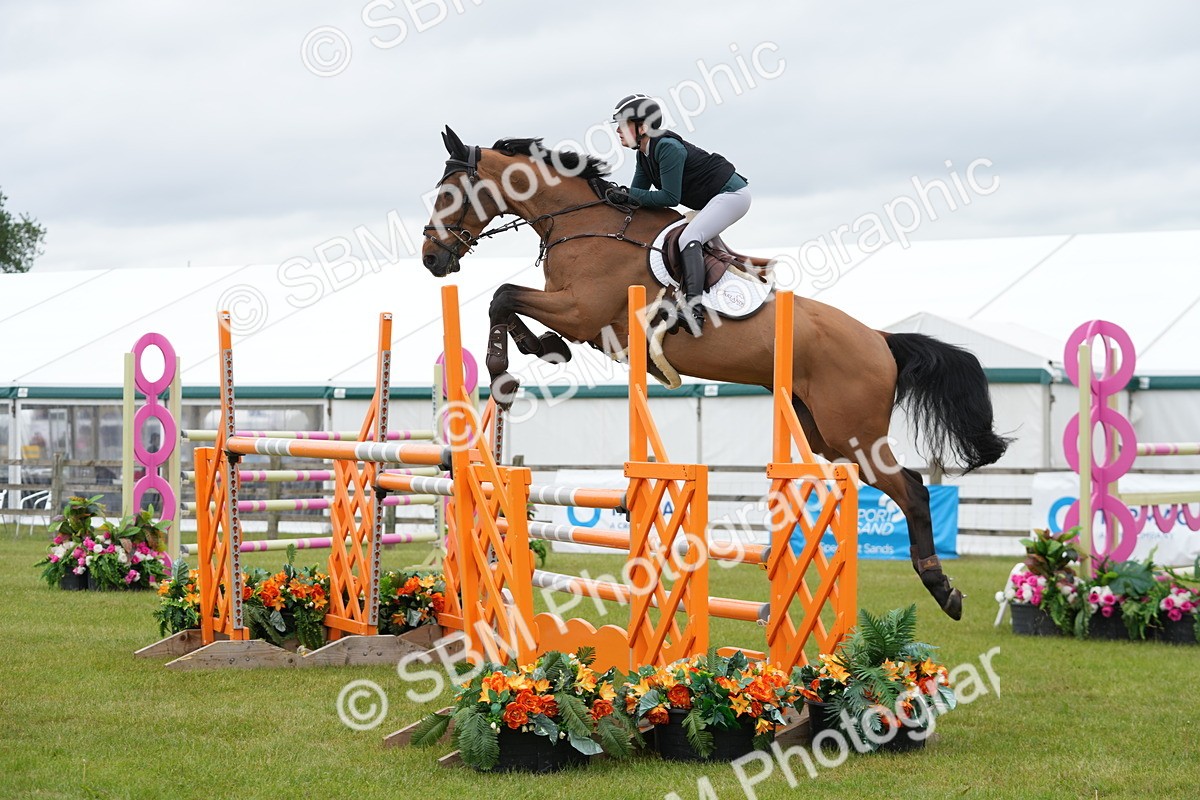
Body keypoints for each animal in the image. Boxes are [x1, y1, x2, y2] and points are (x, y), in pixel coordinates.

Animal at [420, 126, 1011, 620]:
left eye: (449, 194)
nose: (431, 259)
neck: (582, 224)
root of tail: (879, 340)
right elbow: (506, 301)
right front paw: (538, 349)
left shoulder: (583, 310)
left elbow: (503, 295)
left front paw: (514, 359)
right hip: (823, 433)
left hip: (855, 433)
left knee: (911, 488)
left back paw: (942, 589)